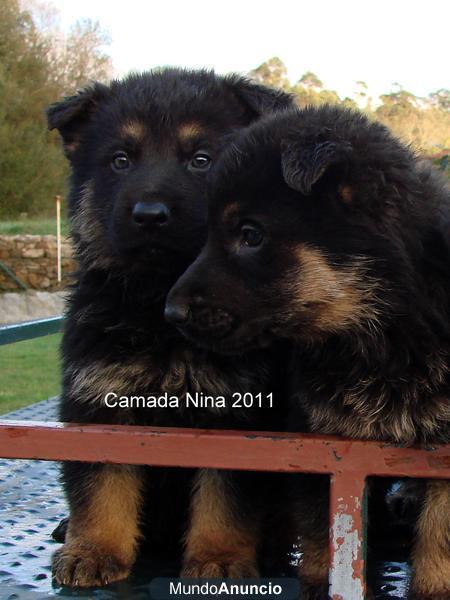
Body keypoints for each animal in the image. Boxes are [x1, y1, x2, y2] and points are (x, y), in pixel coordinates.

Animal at [46, 69, 292, 584]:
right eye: (120, 160)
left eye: (201, 160)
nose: (150, 216)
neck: (160, 310)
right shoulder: (100, 403)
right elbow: (101, 487)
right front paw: (94, 550)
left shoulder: (238, 417)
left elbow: (225, 499)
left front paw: (220, 557)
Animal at [165, 105, 450, 596]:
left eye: (250, 234)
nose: (171, 312)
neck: (377, 335)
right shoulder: (322, 444)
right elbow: (325, 531)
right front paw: (321, 582)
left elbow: (441, 531)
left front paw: (435, 587)